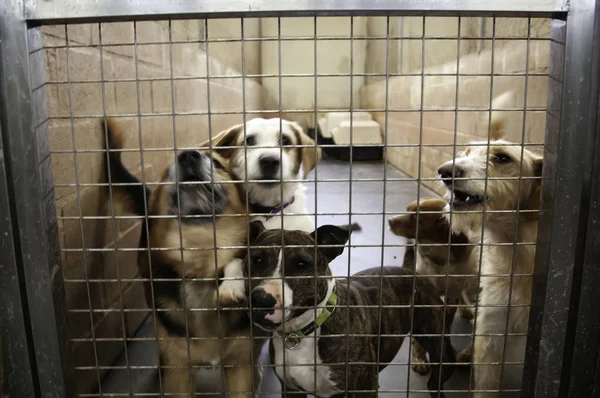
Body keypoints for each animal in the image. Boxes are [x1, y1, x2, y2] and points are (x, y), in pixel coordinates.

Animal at [103, 119, 268, 396]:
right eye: (169, 167)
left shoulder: (239, 366)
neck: (199, 256)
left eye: (217, 164)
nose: (188, 155)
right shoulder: (178, 370)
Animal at [390, 197, 478, 374]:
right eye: (407, 210)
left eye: (417, 217)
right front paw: (419, 358)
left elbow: (446, 323)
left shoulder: (452, 294)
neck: (438, 259)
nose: (390, 220)